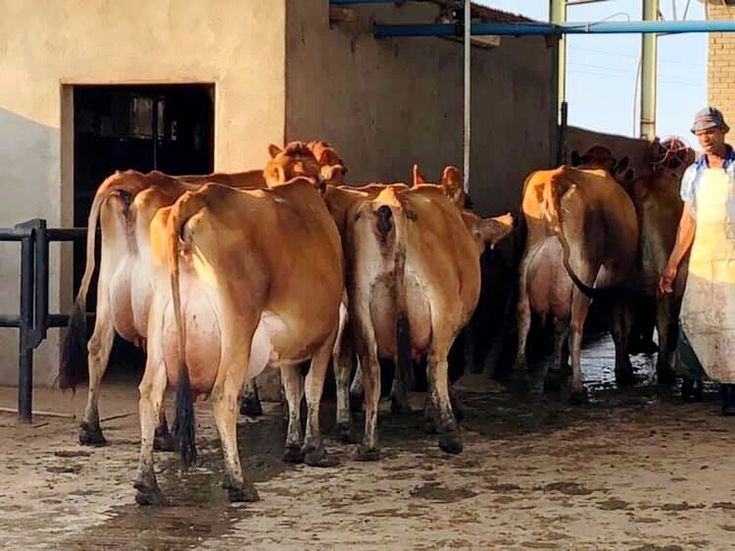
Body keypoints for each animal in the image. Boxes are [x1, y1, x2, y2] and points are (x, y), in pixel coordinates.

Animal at [59, 142, 321, 447]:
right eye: (276, 172)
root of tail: (138, 178)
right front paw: (252, 402)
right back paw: (161, 431)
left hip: (108, 282)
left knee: (99, 345)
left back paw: (92, 427)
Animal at [134, 176, 344, 506]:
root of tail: (197, 197)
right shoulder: (328, 331)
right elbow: (312, 388)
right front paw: (315, 449)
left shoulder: (288, 346)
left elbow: (293, 387)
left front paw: (293, 445)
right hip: (239, 324)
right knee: (223, 394)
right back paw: (238, 482)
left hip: (159, 317)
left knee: (150, 391)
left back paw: (148, 485)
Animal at [325, 180, 513, 458]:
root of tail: (392, 200)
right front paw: (434, 415)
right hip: (440, 303)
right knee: (435, 363)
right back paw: (449, 434)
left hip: (359, 304)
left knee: (364, 363)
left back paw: (364, 440)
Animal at [515, 166, 639, 402]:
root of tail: (559, 176)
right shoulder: (621, 288)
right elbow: (620, 327)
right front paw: (624, 368)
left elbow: (559, 327)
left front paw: (553, 374)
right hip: (584, 270)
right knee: (576, 326)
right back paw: (577, 389)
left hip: (527, 266)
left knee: (525, 316)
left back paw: (520, 372)